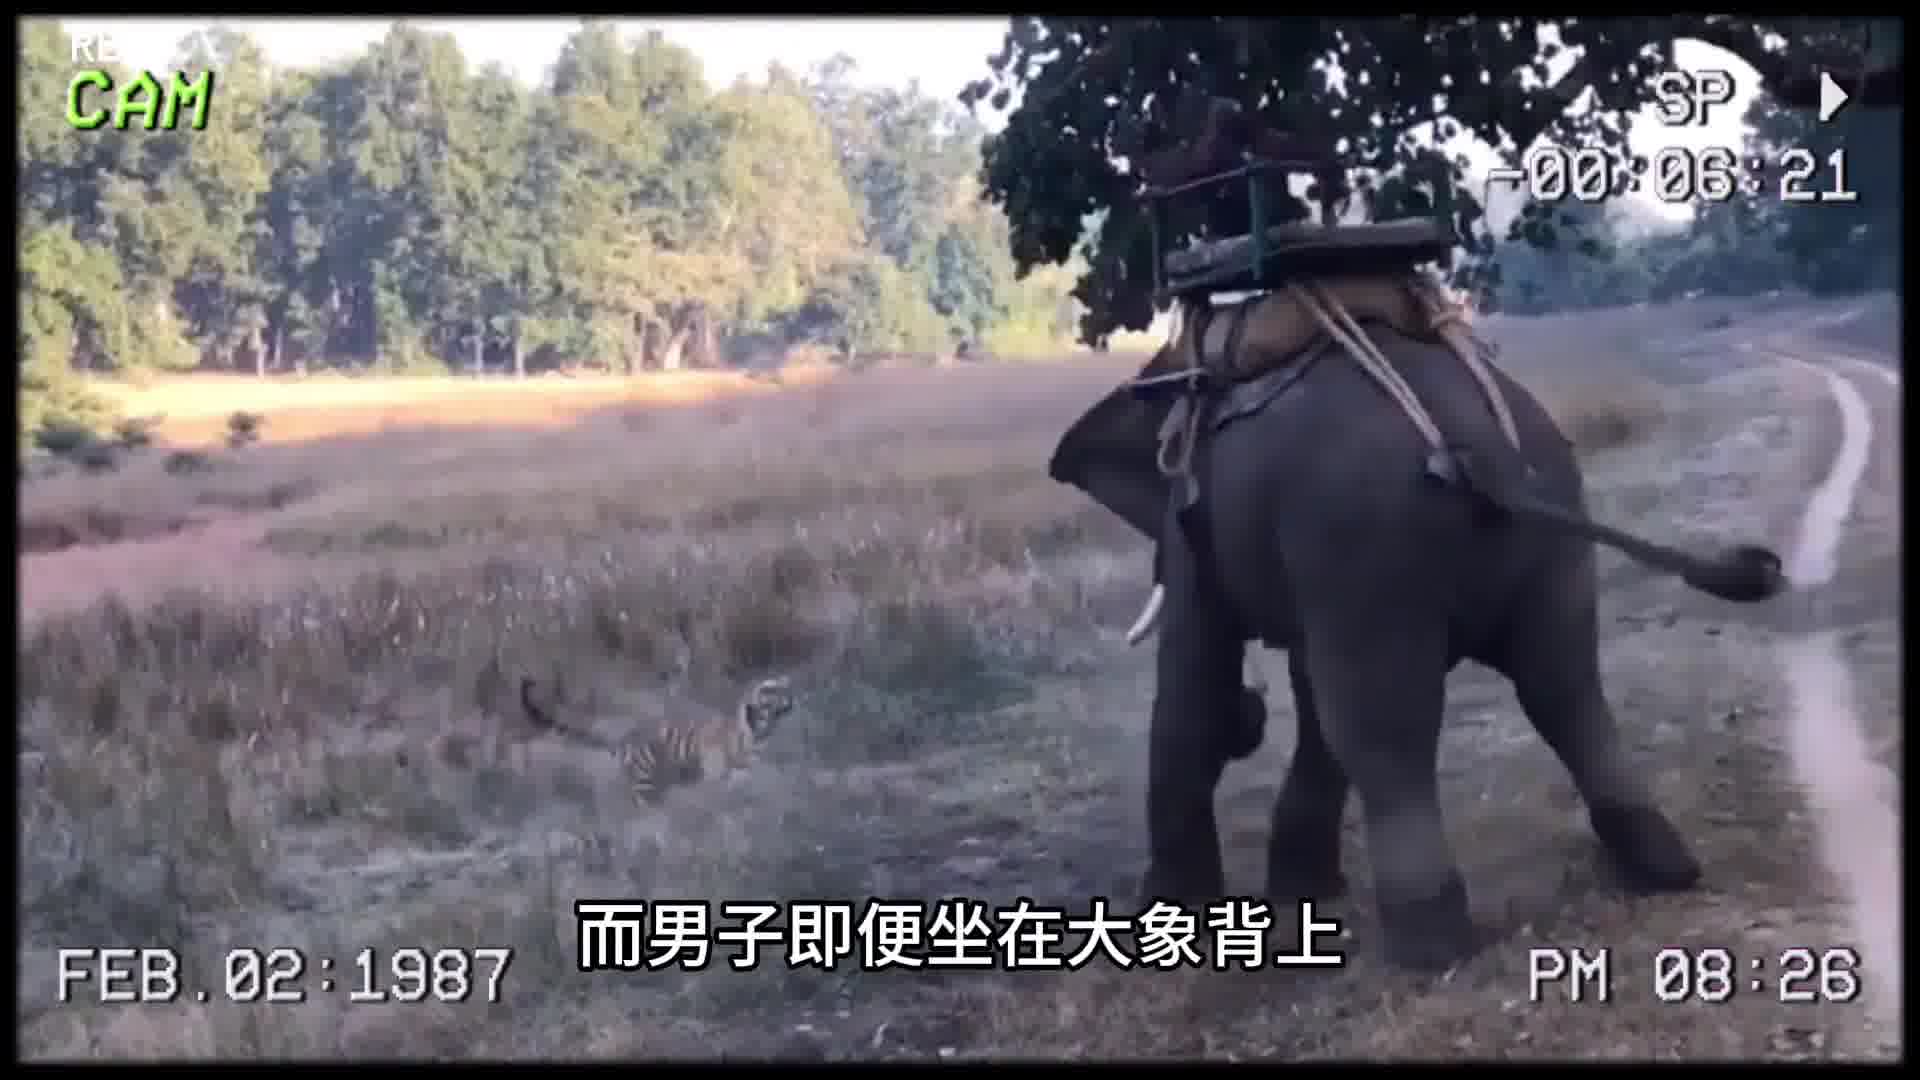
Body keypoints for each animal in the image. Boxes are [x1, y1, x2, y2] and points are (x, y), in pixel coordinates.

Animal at [517, 674, 796, 806]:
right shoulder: (714, 772)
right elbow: (717, 796)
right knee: (643, 805)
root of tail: (625, 735)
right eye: (770, 691)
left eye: (786, 689)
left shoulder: (746, 770)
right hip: (644, 781)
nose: (791, 701)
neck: (756, 732)